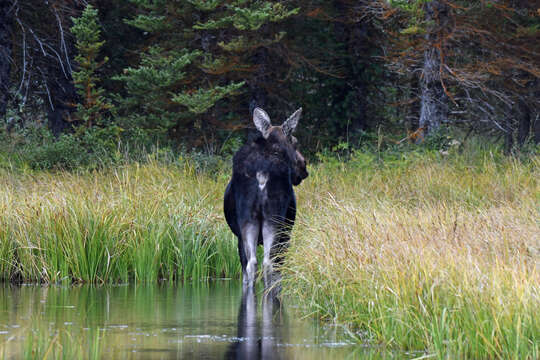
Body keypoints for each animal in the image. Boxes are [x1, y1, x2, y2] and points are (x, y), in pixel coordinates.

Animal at [224, 106, 308, 286]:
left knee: (251, 264)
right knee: (269, 263)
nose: (303, 167)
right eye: (295, 141)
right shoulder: (286, 234)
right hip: (275, 220)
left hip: (248, 219)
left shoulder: (239, 236)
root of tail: (262, 171)